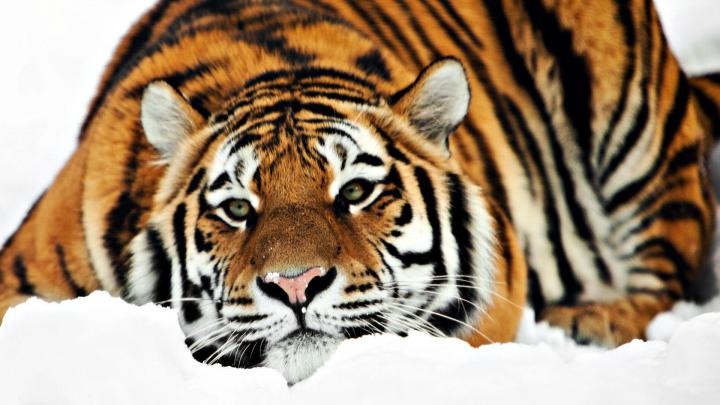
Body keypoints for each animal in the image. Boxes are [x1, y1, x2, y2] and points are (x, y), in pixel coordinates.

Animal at [0, 0, 717, 383]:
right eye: (236, 208)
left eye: (355, 191)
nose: (295, 284)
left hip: (633, 123)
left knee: (668, 265)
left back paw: (593, 319)